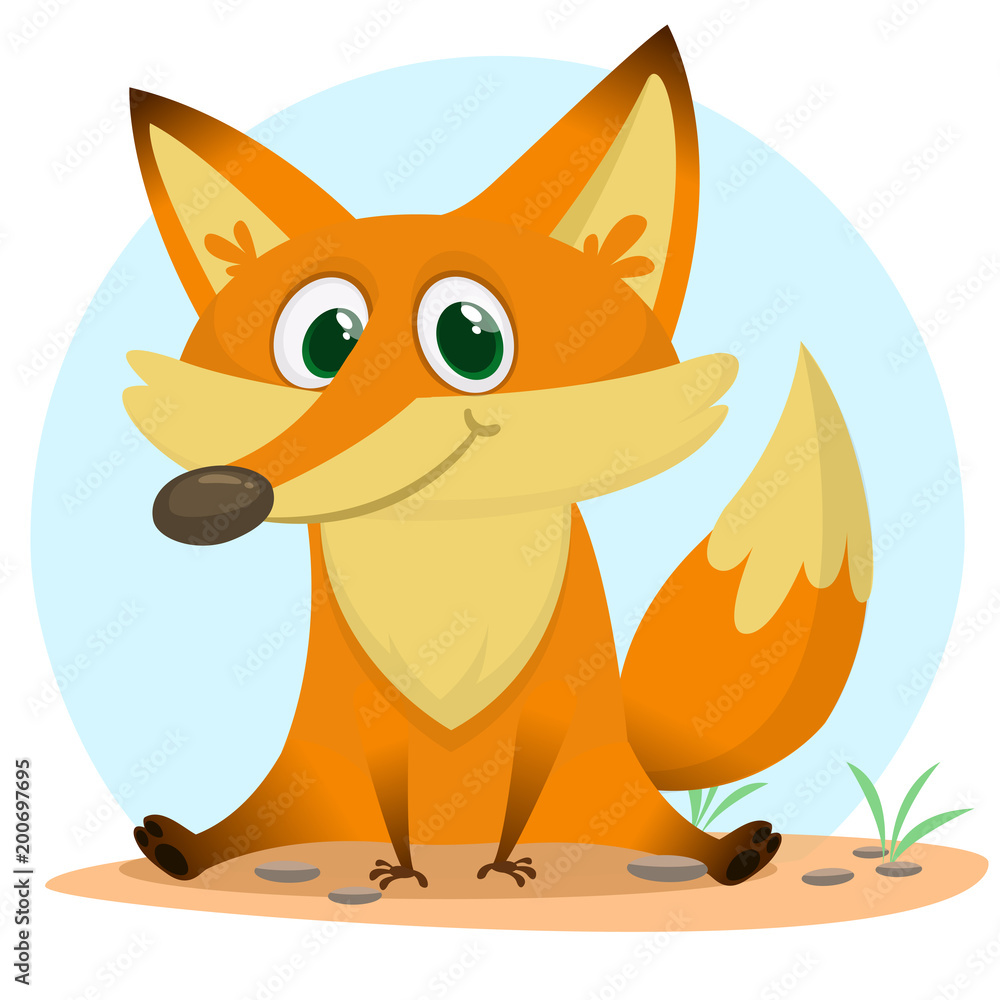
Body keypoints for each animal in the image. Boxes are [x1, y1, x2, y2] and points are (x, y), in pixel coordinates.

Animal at [122, 25, 872, 890]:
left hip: (605, 774)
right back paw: (188, 847)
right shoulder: (356, 712)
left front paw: (506, 865)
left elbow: (523, 792)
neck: (448, 568)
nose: (206, 500)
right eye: (322, 347)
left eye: (469, 340)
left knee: (649, 827)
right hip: (307, 771)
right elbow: (389, 797)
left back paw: (725, 852)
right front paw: (402, 872)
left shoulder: (557, 704)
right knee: (262, 823)